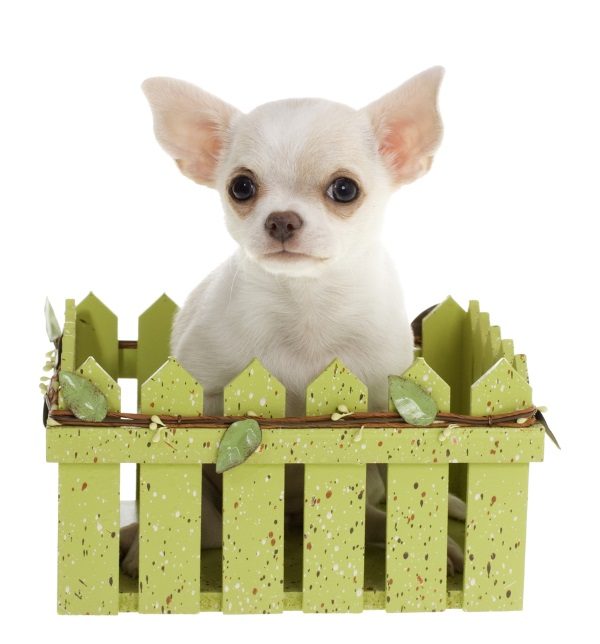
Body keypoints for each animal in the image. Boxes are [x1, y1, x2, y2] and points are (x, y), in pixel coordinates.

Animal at [119, 66, 466, 580]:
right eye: (241, 187)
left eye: (344, 189)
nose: (281, 219)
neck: (306, 308)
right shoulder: (201, 399)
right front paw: (148, 546)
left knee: (374, 508)